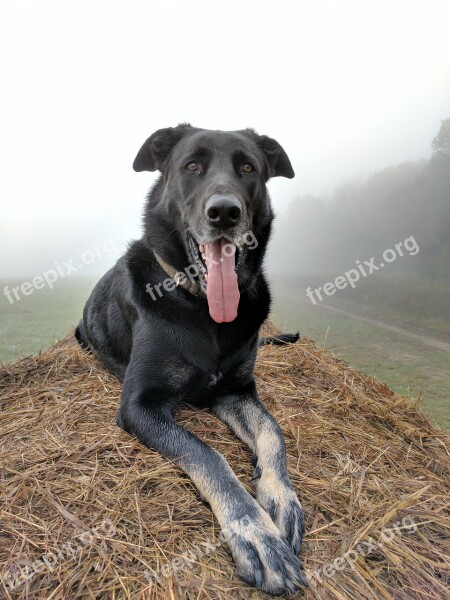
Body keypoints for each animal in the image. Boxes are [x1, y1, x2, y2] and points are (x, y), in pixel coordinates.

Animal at [75, 124, 308, 592]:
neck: (202, 309)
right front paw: (254, 532)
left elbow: (272, 432)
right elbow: (208, 455)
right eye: (192, 166)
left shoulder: (237, 391)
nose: (225, 213)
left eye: (248, 168)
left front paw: (280, 496)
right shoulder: (140, 405)